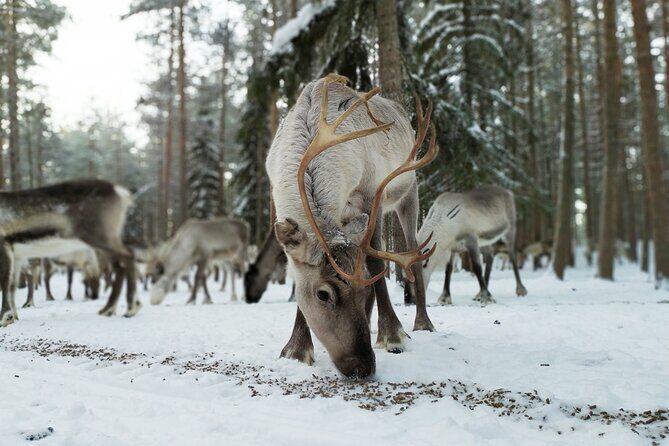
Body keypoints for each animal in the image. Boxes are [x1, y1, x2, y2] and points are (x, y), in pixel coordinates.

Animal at [0, 179, 142, 326]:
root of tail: (120, 191)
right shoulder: (17, 255)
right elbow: (12, 285)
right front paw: (14, 316)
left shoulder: (3, 244)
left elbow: (4, 282)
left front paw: (5, 317)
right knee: (120, 265)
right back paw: (109, 309)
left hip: (101, 237)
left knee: (127, 256)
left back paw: (131, 308)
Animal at [267, 74, 438, 378]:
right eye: (323, 294)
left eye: (366, 293)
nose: (363, 366)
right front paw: (297, 349)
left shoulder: (371, 196)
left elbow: (376, 263)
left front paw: (392, 335)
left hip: (409, 191)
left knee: (414, 253)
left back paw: (422, 323)